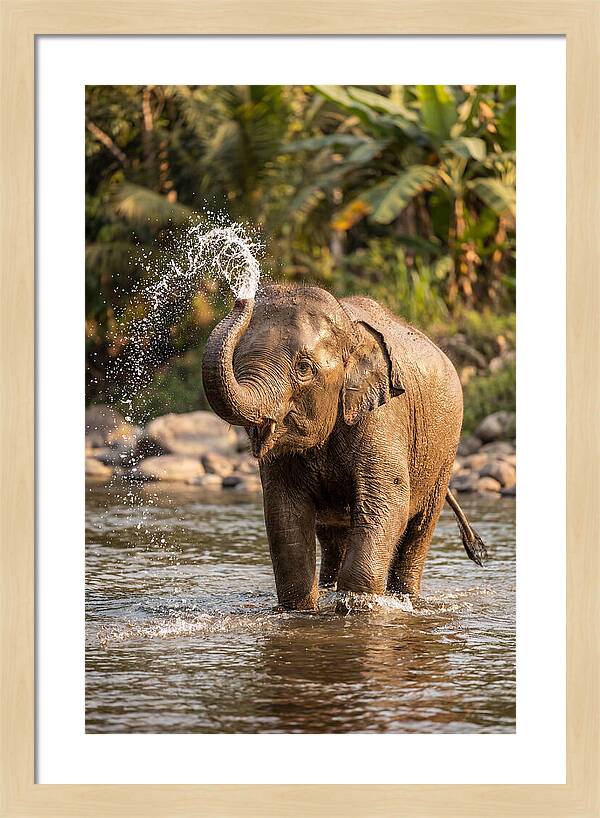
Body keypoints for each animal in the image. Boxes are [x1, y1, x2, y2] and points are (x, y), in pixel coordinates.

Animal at [202, 284, 487, 611]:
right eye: (237, 361)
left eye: (304, 368)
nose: (242, 299)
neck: (351, 331)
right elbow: (284, 513)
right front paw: (302, 609)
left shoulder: (383, 417)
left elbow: (387, 502)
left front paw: (357, 606)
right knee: (332, 534)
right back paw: (329, 588)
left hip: (445, 451)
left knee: (419, 527)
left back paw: (406, 598)